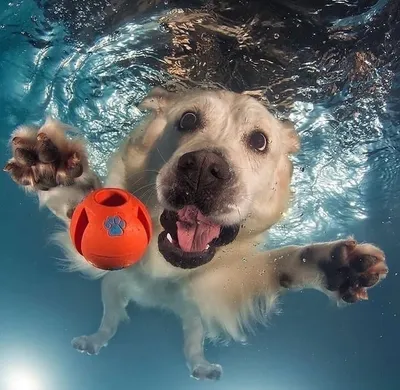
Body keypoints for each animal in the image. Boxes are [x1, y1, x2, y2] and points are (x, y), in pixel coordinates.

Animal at [3, 87, 390, 380]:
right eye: (188, 119)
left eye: (259, 141)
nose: (204, 168)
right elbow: (86, 205)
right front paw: (54, 170)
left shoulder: (220, 284)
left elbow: (277, 264)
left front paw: (335, 264)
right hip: (113, 291)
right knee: (110, 320)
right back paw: (94, 340)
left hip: (193, 317)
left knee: (192, 345)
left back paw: (202, 367)